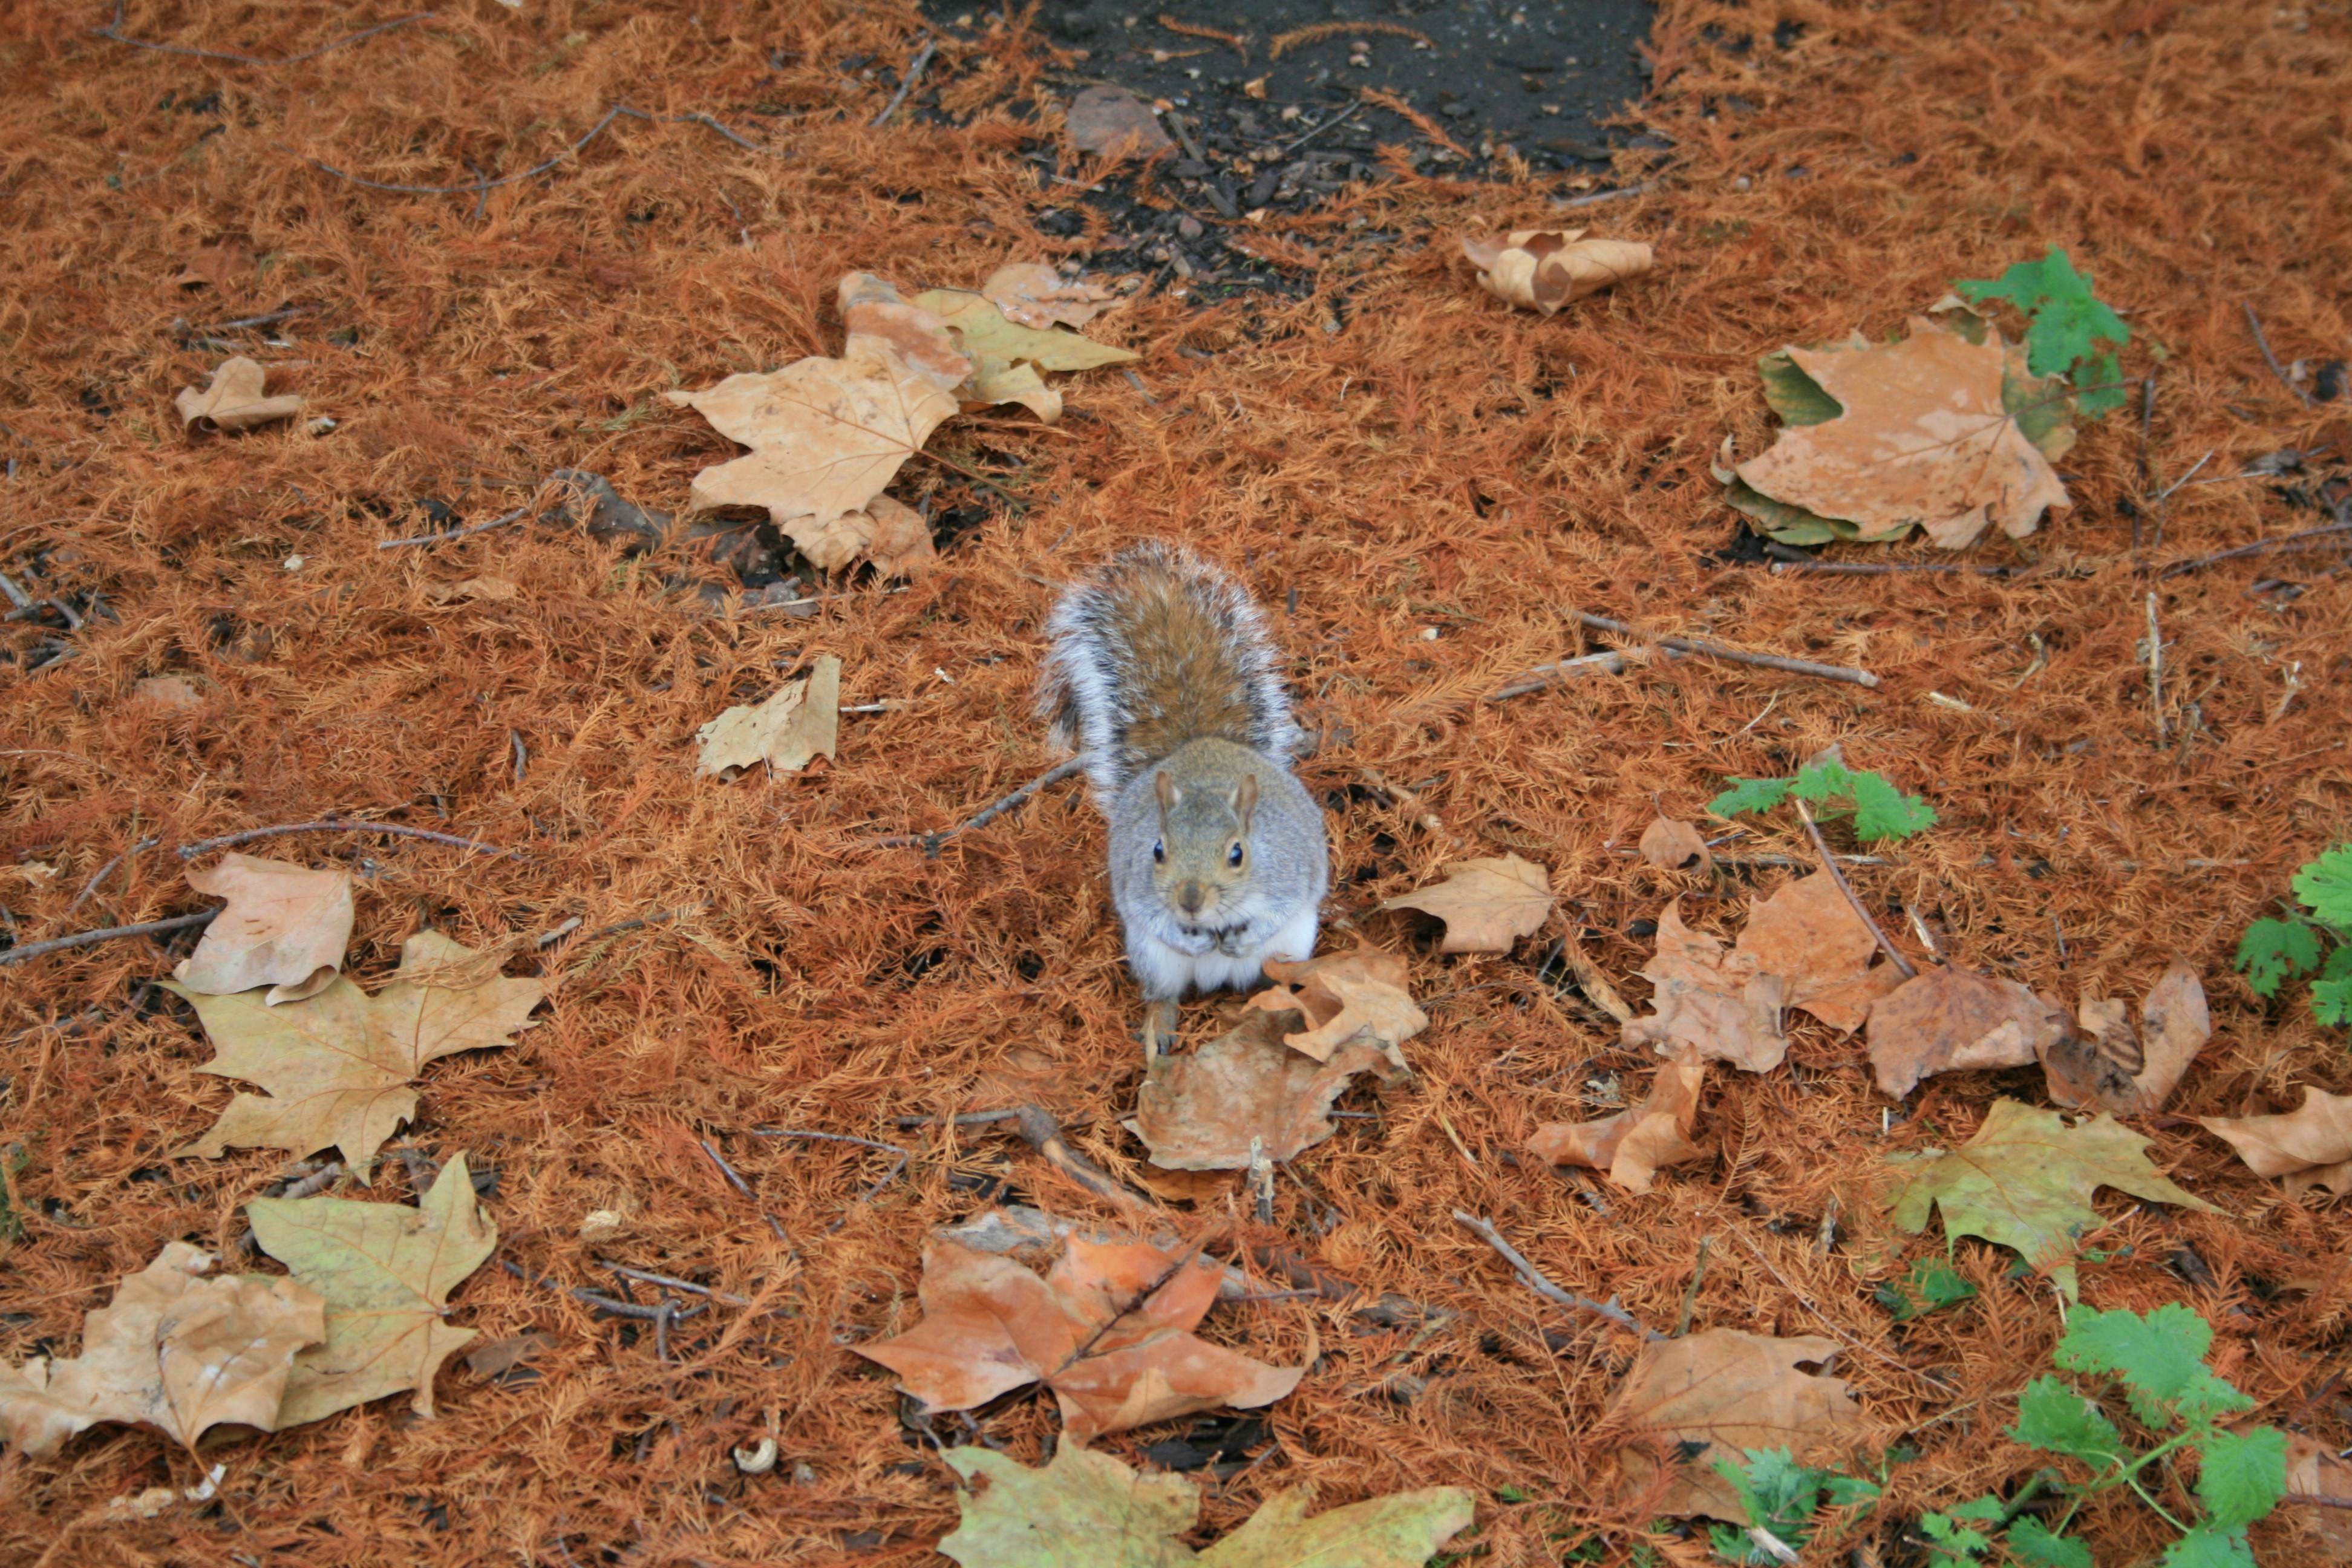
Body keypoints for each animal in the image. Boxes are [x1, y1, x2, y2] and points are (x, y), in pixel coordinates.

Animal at [1038, 541, 1330, 1055]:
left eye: (1238, 854)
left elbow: (1279, 908)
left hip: (1294, 944)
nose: (1191, 901)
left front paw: (1241, 938)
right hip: (1154, 959)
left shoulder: (1289, 871)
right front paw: (1193, 938)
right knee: (1163, 993)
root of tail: (1198, 742)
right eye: (1157, 850)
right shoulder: (1139, 889)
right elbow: (1152, 916)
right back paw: (1160, 1027)